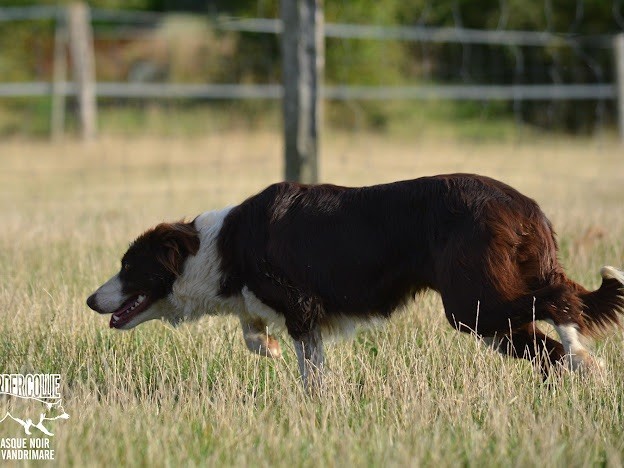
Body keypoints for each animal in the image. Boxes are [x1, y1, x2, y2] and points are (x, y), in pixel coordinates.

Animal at [88, 174, 624, 390]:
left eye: (129, 266)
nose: (91, 299)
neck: (219, 247)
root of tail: (526, 206)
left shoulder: (302, 306)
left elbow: (309, 368)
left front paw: (314, 402)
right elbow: (253, 334)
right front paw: (270, 349)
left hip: (472, 303)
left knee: (560, 303)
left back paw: (584, 358)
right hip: (489, 313)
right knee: (550, 341)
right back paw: (582, 372)